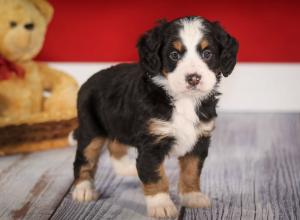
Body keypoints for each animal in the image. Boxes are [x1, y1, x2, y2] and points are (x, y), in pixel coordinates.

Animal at [71, 15, 238, 218]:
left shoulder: (199, 140)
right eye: (174, 55)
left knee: (115, 144)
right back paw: (83, 189)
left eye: (207, 54)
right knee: (84, 158)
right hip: (91, 129)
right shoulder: (151, 145)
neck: (184, 100)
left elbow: (191, 171)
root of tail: (89, 80)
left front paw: (193, 196)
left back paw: (126, 168)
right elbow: (156, 176)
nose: (193, 78)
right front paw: (161, 206)